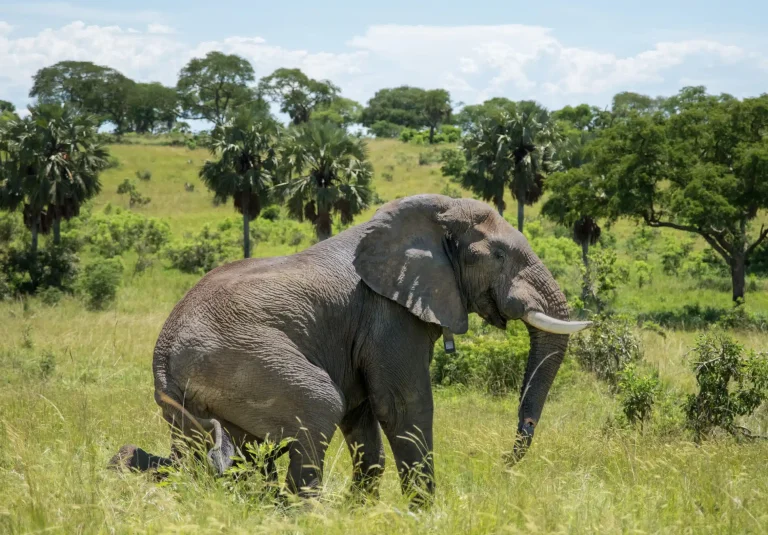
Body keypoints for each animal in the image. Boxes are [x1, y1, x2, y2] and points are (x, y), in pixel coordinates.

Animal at [110, 194, 590, 502]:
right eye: (499, 256)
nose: (506, 462)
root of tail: (162, 354)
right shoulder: (388, 313)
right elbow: (401, 405)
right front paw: (424, 515)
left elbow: (363, 416)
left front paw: (362, 511)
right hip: (243, 360)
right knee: (317, 407)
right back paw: (302, 514)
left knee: (213, 454)